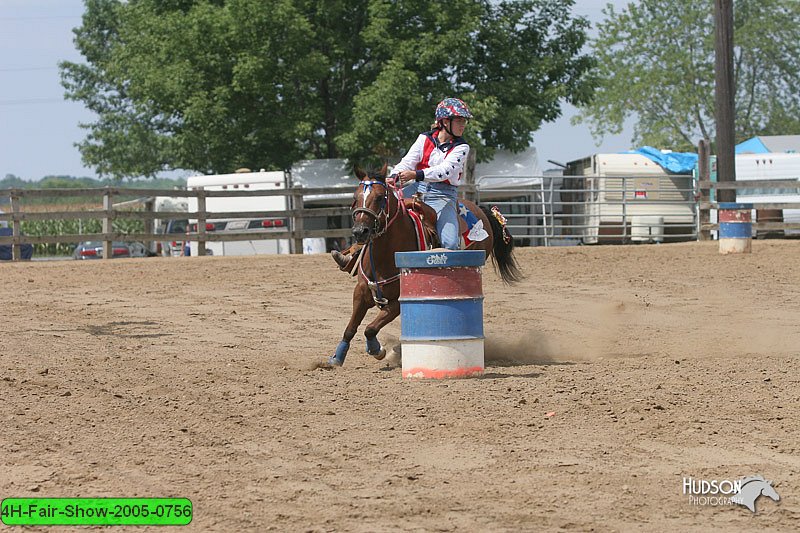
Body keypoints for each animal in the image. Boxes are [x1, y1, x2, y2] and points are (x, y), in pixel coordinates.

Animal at [324, 164, 520, 368]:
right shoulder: (360, 292)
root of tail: (480, 209)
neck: (384, 256)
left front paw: (377, 349)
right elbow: (351, 327)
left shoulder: (397, 303)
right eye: (355, 198)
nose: (359, 231)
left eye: (379, 197)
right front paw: (336, 357)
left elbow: (370, 328)